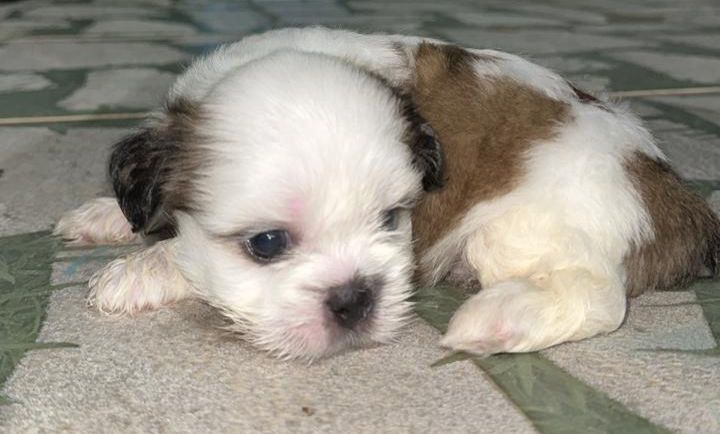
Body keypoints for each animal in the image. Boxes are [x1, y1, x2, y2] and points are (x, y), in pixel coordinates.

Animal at [56, 27, 720, 359]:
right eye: (268, 244)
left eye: (389, 220)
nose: (354, 298)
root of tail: (675, 196)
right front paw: (108, 217)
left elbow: (183, 256)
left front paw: (142, 270)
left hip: (530, 224)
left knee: (598, 293)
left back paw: (500, 316)